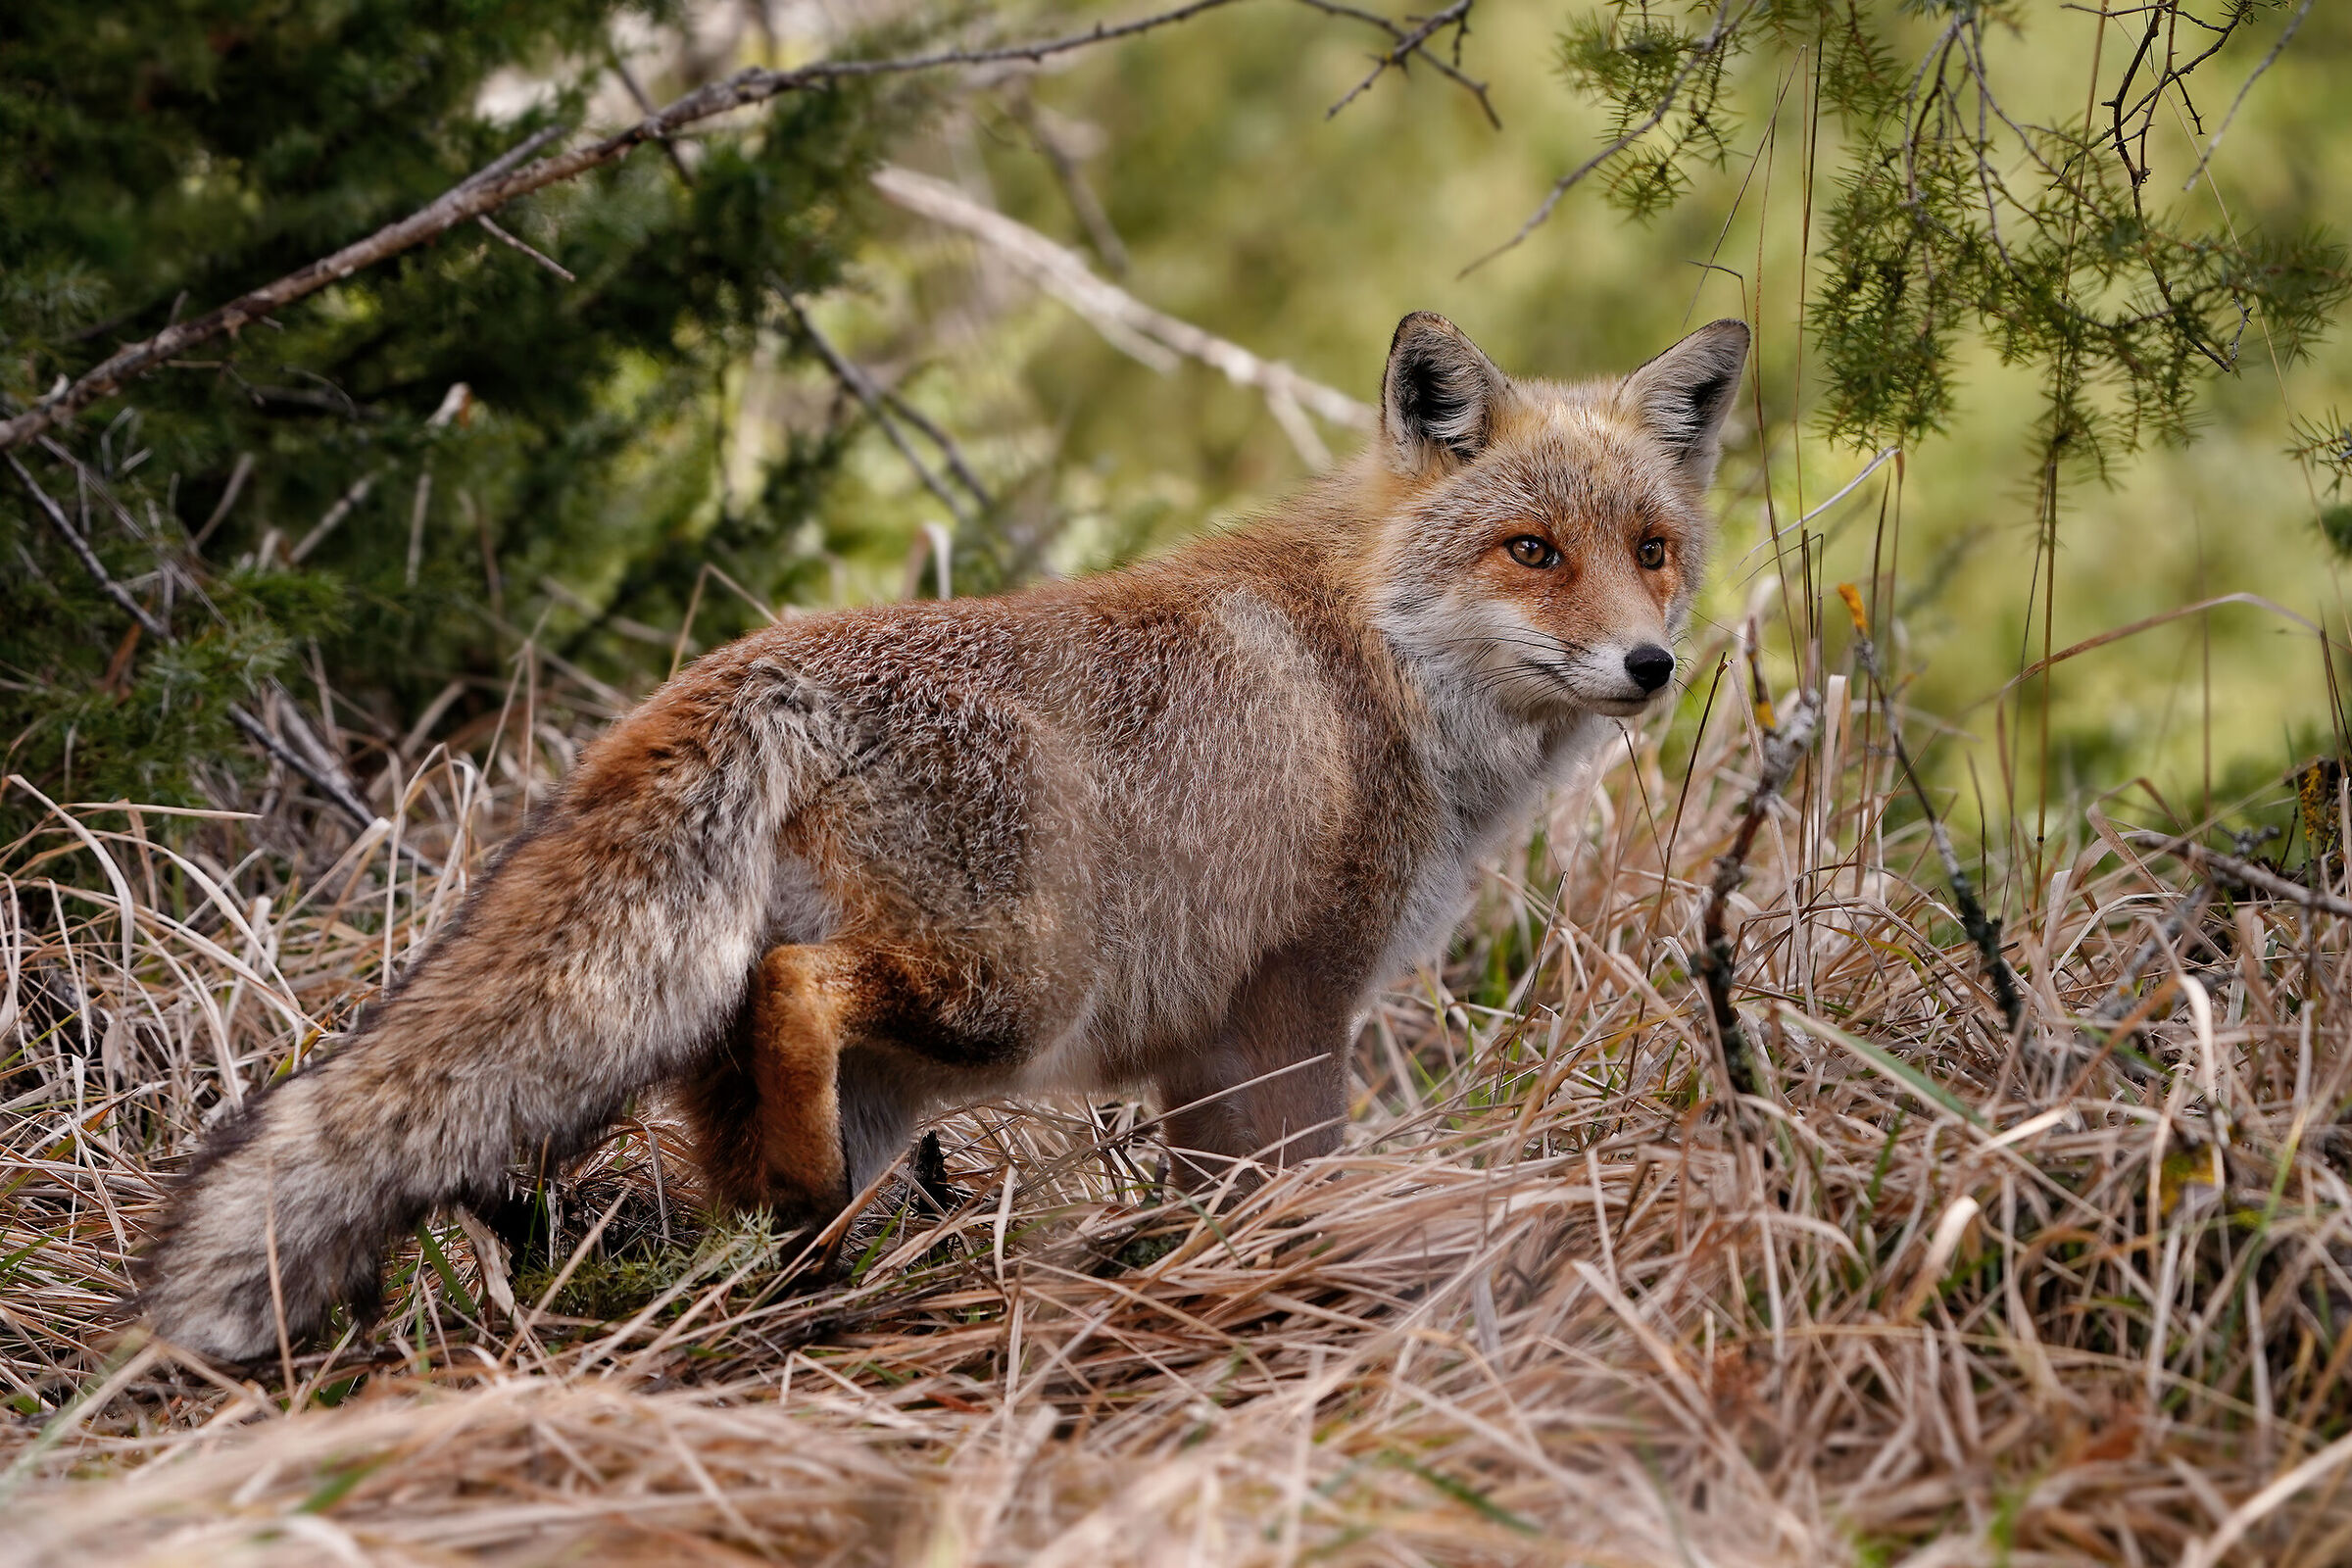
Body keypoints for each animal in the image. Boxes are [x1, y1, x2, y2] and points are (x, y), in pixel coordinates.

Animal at [137, 312, 1749, 1363]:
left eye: (1651, 550)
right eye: (1530, 551)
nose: (1649, 665)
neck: (1386, 668)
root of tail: (759, 662)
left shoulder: (1207, 1048)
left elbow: (1219, 1199)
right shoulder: (1294, 1003)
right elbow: (1296, 1189)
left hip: (857, 1064)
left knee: (739, 1161)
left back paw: (802, 1273)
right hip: (1010, 995)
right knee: (799, 997)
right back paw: (813, 1231)